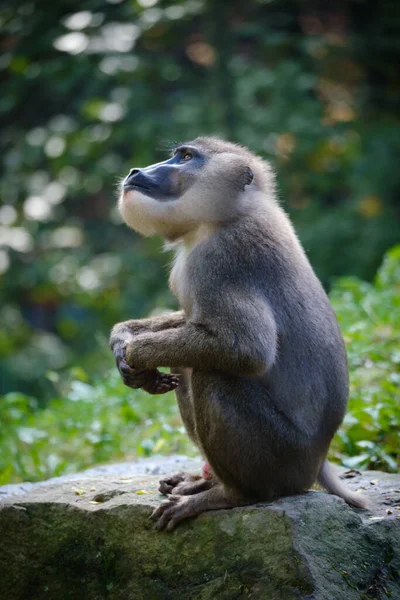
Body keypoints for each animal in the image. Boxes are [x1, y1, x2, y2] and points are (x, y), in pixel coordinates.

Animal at [109, 135, 366, 528]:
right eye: (175, 154)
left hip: (280, 459)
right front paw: (122, 340)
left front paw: (137, 355)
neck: (223, 217)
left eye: (186, 157)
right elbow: (192, 323)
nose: (137, 171)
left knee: (212, 374)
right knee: (186, 363)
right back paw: (203, 480)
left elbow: (245, 349)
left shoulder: (222, 258)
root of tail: (318, 462)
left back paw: (227, 495)